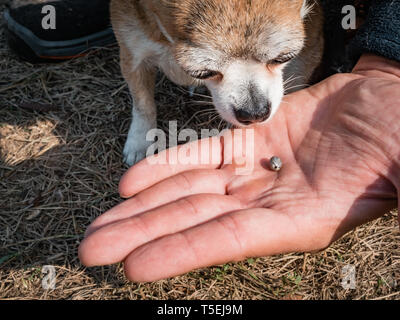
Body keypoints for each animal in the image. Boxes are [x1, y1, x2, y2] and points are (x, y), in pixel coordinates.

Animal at [111, 0, 324, 165]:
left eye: (283, 58)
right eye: (204, 72)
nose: (254, 113)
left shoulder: (309, 47)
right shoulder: (132, 54)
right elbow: (143, 104)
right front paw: (139, 141)